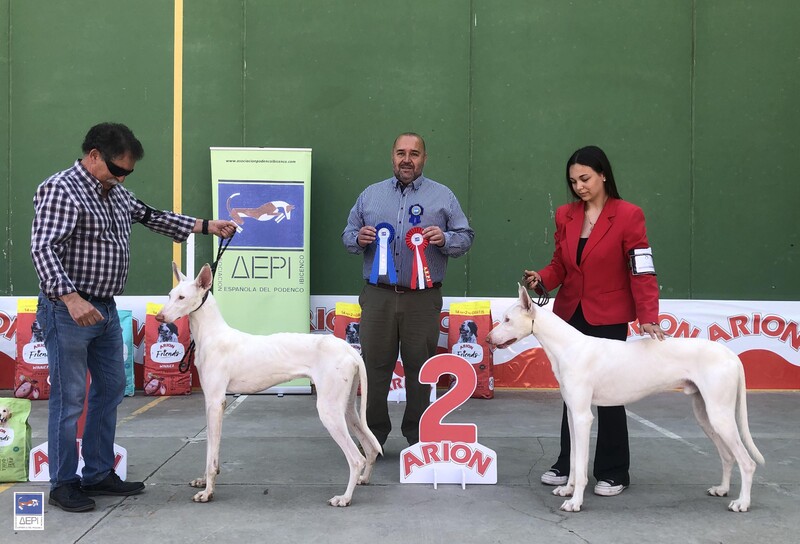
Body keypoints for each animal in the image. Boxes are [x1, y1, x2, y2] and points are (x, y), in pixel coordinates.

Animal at [155, 262, 381, 506]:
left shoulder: (215, 402)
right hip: (346, 408)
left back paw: (345, 498)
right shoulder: (211, 404)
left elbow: (211, 455)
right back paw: (364, 479)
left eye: (182, 297)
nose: (159, 317)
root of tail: (348, 349)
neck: (212, 335)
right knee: (370, 448)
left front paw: (207, 492)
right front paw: (202, 481)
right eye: (169, 295)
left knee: (356, 458)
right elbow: (209, 450)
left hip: (329, 409)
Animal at [486, 284, 764, 513]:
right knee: (728, 456)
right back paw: (722, 489)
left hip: (720, 415)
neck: (569, 346)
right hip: (705, 415)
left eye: (508, 319)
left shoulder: (583, 417)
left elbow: (581, 466)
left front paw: (575, 502)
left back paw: (742, 502)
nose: (487, 339)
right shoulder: (573, 415)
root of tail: (731, 355)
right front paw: (567, 489)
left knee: (747, 462)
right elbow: (575, 460)